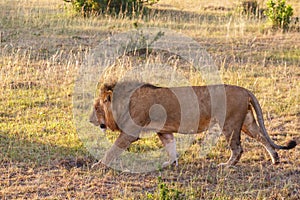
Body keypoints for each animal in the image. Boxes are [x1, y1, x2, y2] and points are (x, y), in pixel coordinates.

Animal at [88, 81, 296, 169]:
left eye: (96, 107)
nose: (90, 120)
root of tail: (245, 90)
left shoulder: (131, 131)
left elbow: (112, 150)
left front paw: (98, 164)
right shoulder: (163, 131)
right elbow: (170, 147)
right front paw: (171, 163)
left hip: (229, 124)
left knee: (238, 149)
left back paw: (227, 165)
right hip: (247, 122)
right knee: (262, 137)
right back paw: (275, 159)